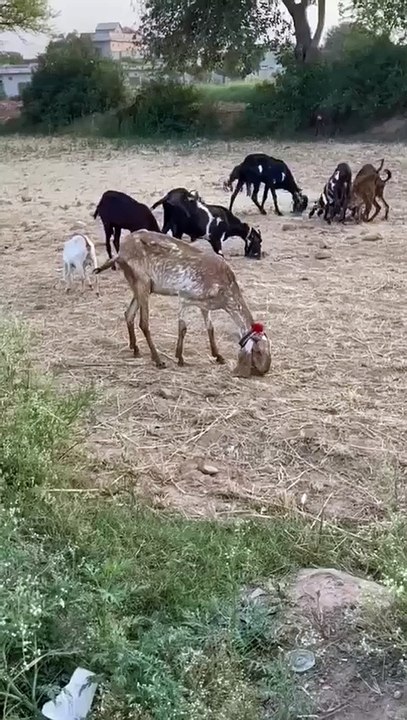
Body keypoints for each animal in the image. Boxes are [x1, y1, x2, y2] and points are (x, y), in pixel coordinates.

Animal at [94, 230, 271, 377]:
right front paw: (179, 358)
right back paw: (157, 360)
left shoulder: (205, 305)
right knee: (143, 323)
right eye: (259, 351)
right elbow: (183, 328)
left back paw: (135, 349)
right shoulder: (185, 297)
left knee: (129, 314)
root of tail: (120, 252)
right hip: (141, 281)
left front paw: (218, 356)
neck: (225, 288)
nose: (264, 371)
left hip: (142, 285)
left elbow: (210, 328)